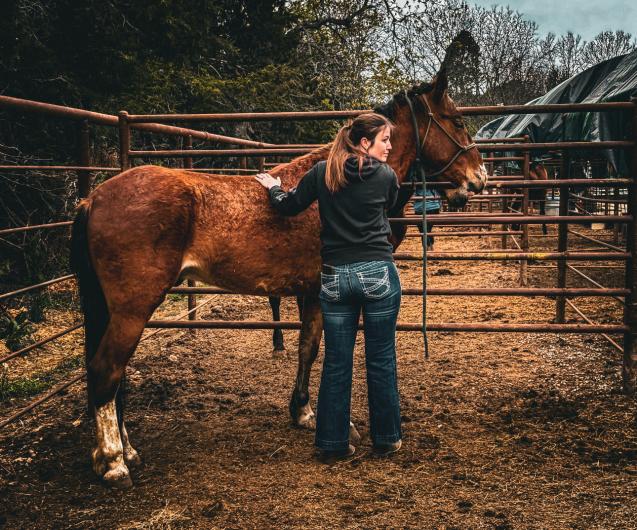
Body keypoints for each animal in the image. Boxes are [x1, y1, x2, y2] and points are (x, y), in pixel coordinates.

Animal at [71, 67, 486, 486]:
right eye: (457, 120)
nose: (479, 178)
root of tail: (94, 198)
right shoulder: (322, 292)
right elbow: (318, 349)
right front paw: (321, 418)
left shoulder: (308, 293)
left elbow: (306, 348)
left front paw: (301, 410)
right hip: (133, 309)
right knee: (107, 370)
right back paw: (114, 462)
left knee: (114, 377)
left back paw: (124, 450)